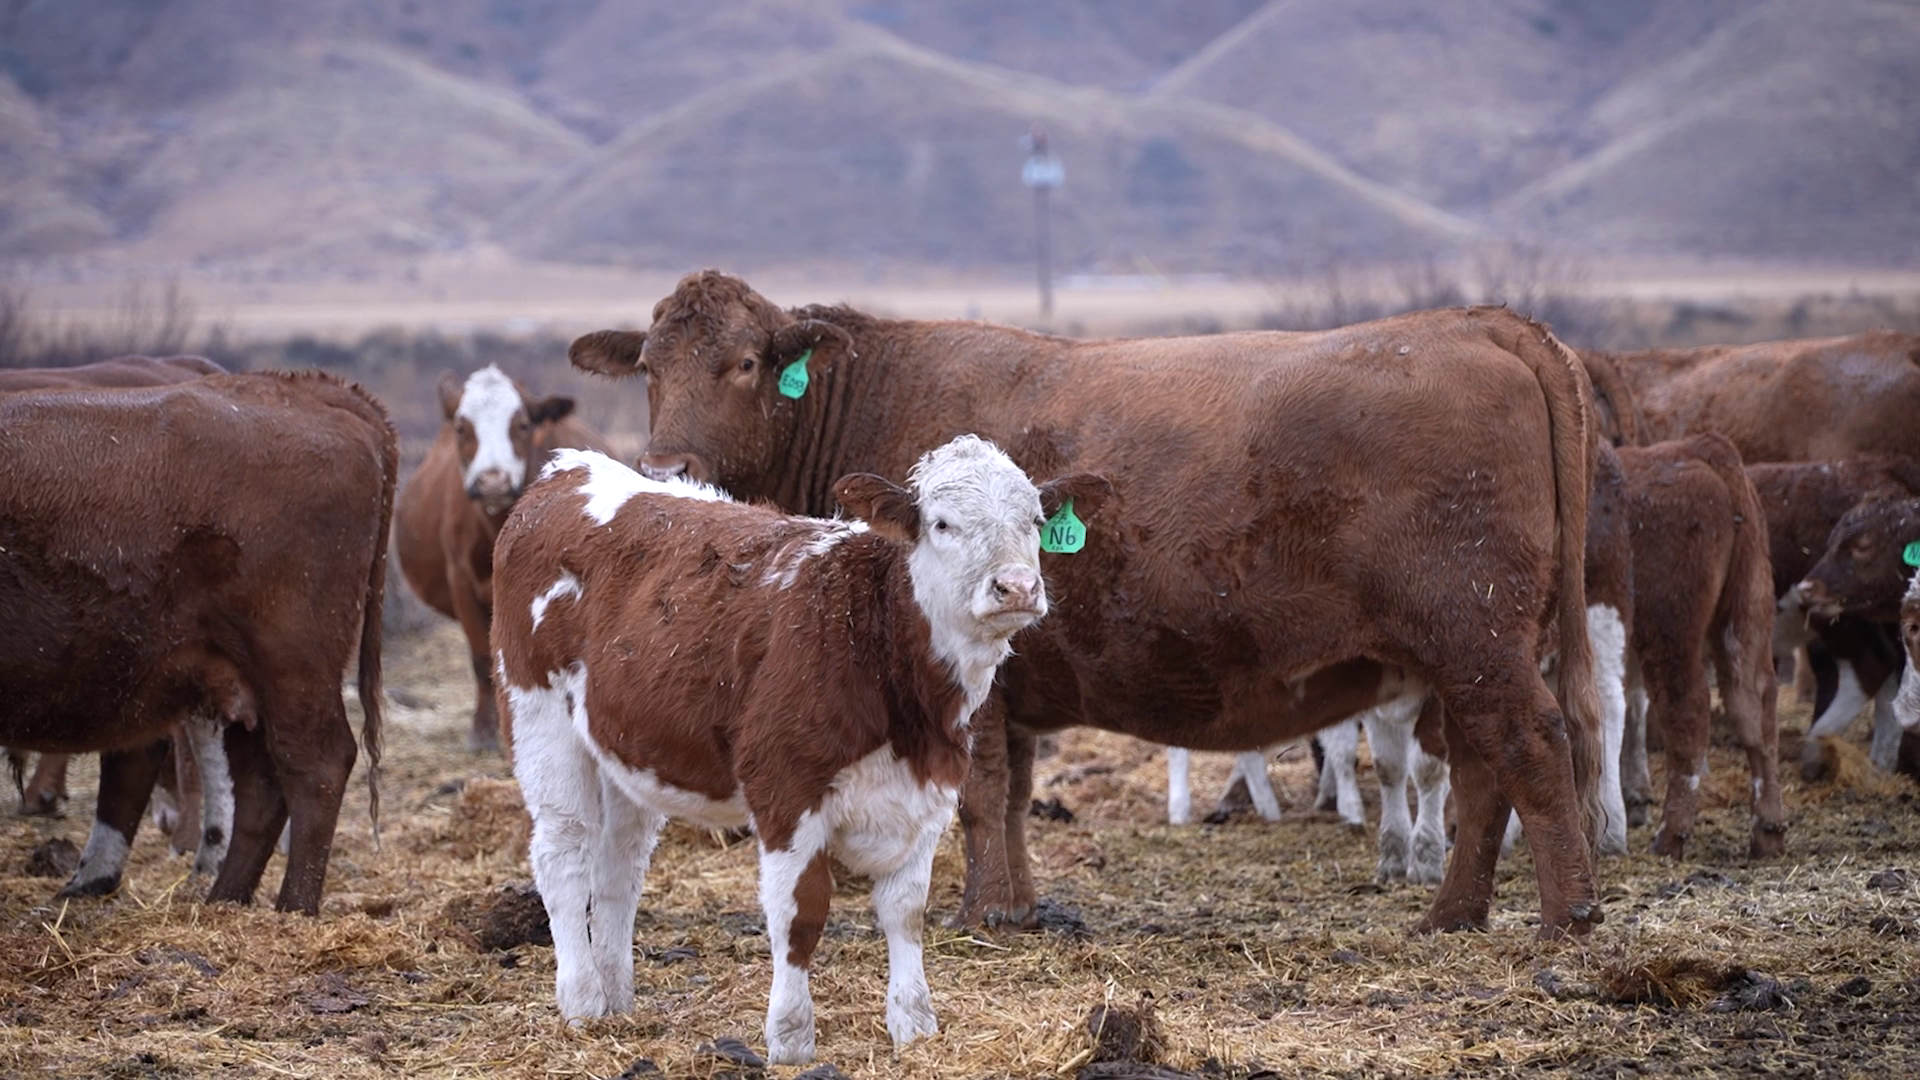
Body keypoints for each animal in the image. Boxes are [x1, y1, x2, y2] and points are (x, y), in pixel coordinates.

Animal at [0, 372, 395, 914]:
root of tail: (310, 389)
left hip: (289, 666)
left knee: (316, 764)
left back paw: (293, 910)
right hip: (240, 683)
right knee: (261, 783)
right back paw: (223, 901)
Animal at [392, 364, 611, 752]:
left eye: (522, 425)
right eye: (462, 428)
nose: (493, 482)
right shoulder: (461, 583)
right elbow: (482, 660)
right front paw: (482, 731)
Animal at [492, 436, 1106, 1063]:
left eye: (1035, 522)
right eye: (942, 523)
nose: (1017, 587)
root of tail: (570, 468)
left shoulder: (930, 792)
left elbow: (906, 910)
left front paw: (914, 1025)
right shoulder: (785, 789)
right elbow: (800, 914)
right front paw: (790, 1037)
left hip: (627, 749)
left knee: (620, 866)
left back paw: (617, 999)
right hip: (540, 718)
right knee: (564, 856)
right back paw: (584, 1002)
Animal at [568, 270, 1610, 938]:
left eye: (746, 364)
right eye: (650, 368)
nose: (669, 466)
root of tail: (1478, 323)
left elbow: (981, 796)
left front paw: (985, 911)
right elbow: (1013, 796)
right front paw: (1017, 905)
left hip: (1478, 639)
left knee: (1529, 748)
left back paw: (1564, 917)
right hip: (1466, 655)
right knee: (1481, 769)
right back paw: (1453, 915)